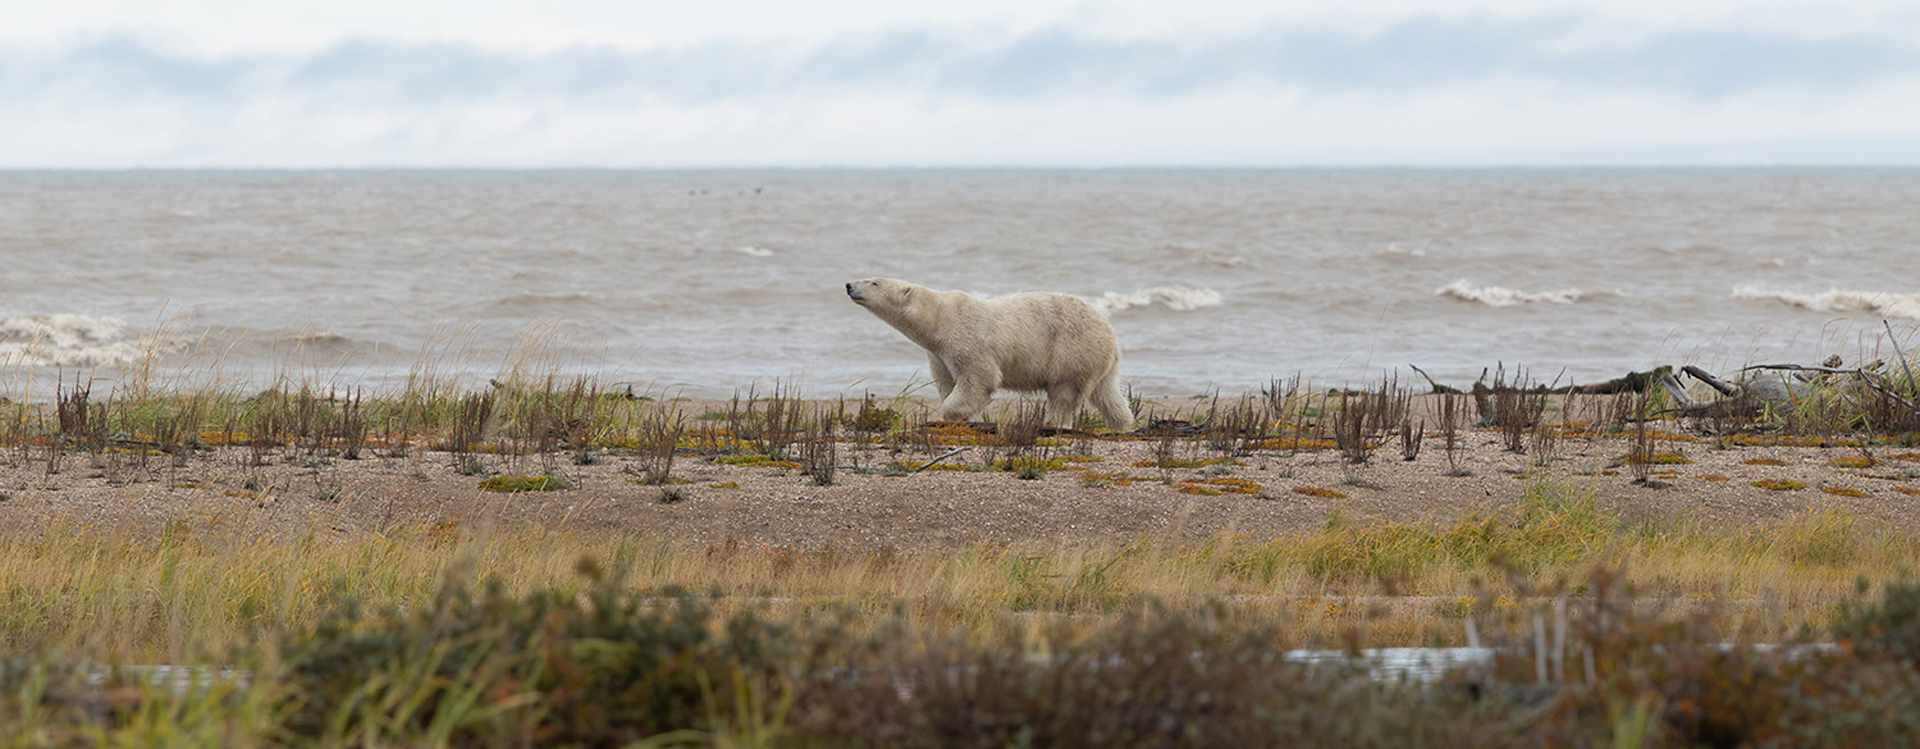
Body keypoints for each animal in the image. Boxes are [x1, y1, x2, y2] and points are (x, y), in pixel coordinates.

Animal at [846, 278, 1134, 432]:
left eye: (874, 281)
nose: (849, 285)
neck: (939, 320)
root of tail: (1109, 332)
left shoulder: (967, 340)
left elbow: (978, 378)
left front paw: (952, 414)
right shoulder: (937, 354)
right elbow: (946, 381)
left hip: (1071, 350)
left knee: (1065, 392)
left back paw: (1053, 424)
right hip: (1098, 358)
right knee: (1108, 394)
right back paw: (1122, 424)